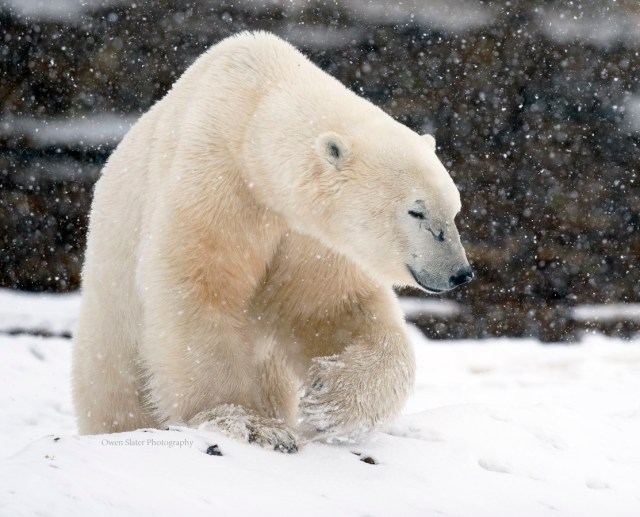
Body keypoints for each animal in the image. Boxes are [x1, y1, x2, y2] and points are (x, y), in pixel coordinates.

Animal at [72, 31, 472, 452]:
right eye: (416, 212)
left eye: (455, 210)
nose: (459, 273)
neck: (252, 110)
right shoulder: (213, 181)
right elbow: (199, 287)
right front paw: (249, 422)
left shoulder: (308, 237)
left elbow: (330, 307)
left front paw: (328, 400)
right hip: (110, 322)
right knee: (116, 391)